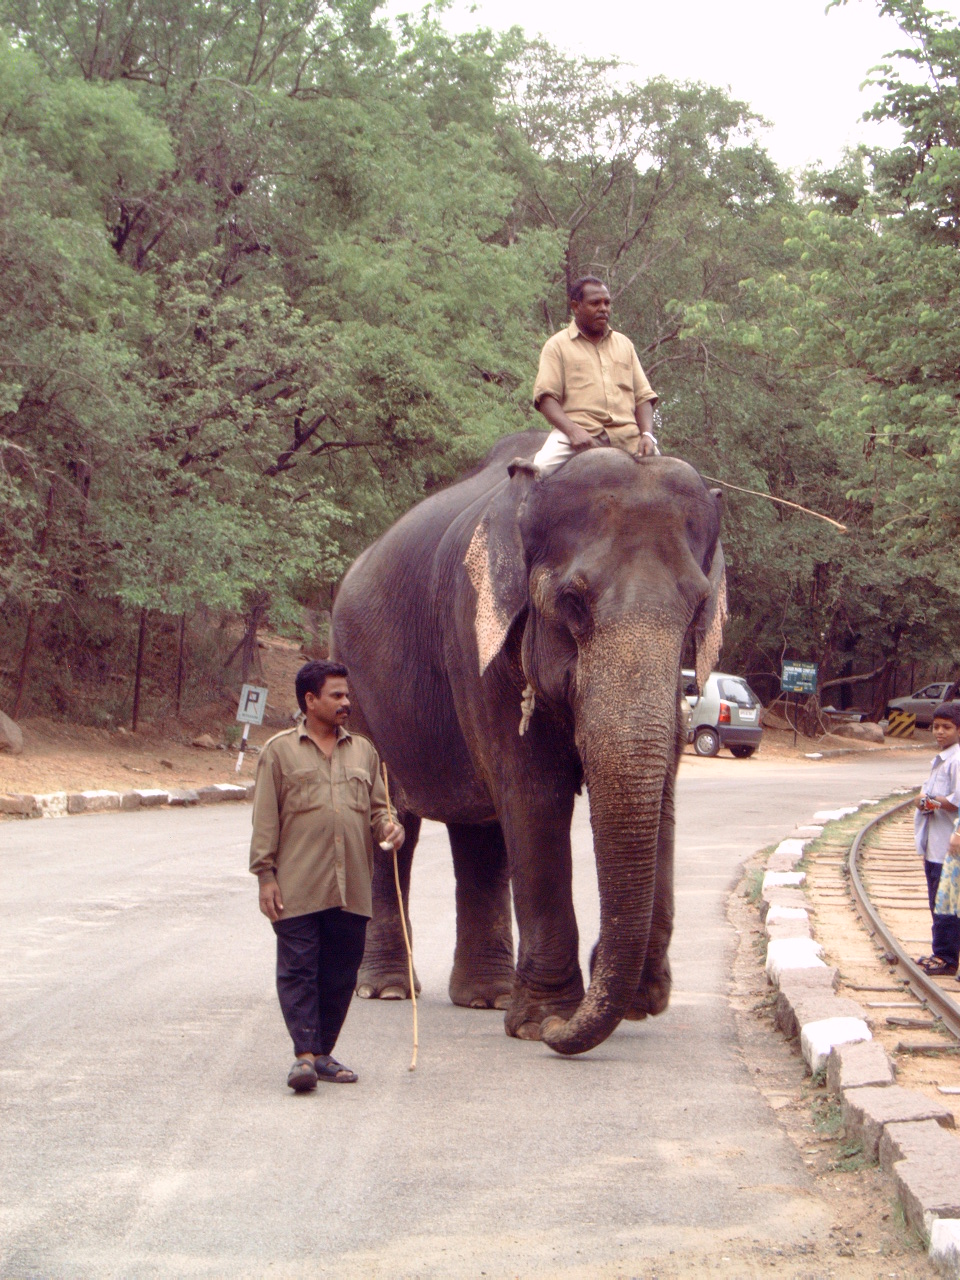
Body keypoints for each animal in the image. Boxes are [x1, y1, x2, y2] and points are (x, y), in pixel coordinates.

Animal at [330, 430, 726, 1057]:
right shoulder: (474, 634)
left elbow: (658, 790)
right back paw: (388, 990)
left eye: (696, 608)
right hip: (356, 682)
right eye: (573, 602)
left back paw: (485, 997)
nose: (609, 971)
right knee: (390, 820)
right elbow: (535, 796)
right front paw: (545, 1024)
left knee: (480, 832)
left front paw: (629, 1001)